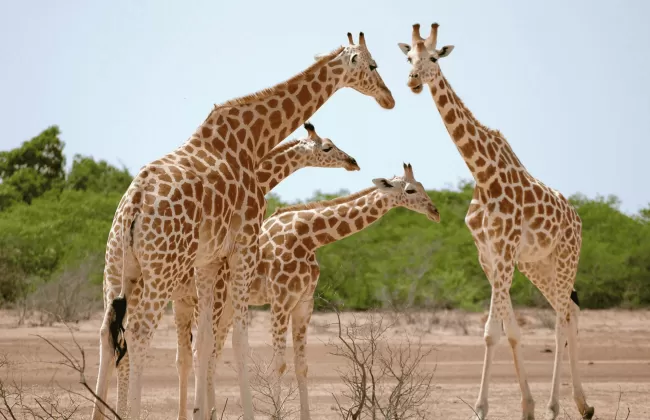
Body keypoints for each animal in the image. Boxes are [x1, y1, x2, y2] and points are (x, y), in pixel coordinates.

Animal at [91, 31, 395, 420]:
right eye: (372, 65)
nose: (388, 98)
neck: (252, 141)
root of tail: (135, 203)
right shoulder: (244, 247)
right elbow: (238, 342)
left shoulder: (208, 263)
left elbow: (205, 345)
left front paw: (201, 412)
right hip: (161, 269)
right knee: (139, 334)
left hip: (118, 268)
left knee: (108, 334)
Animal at [209, 163, 439, 420]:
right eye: (410, 190)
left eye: (422, 186)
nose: (435, 212)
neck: (309, 238)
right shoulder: (280, 300)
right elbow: (279, 364)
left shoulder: (304, 303)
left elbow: (302, 366)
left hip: (229, 306)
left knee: (214, 352)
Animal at [397, 23, 593, 420]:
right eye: (409, 58)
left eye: (434, 58)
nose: (412, 81)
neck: (483, 174)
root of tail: (577, 218)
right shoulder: (487, 254)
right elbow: (508, 329)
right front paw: (526, 407)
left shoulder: (504, 250)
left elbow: (492, 330)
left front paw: (483, 408)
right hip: (538, 265)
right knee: (571, 311)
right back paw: (582, 405)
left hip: (566, 257)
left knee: (561, 320)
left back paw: (557, 405)